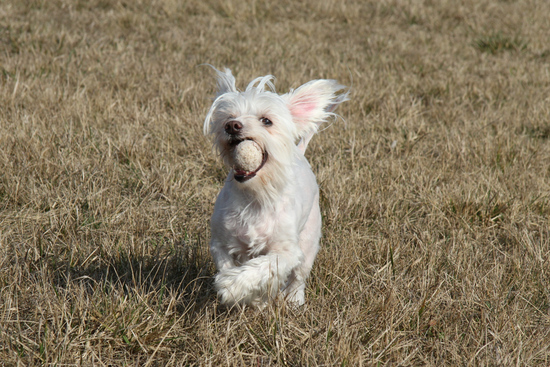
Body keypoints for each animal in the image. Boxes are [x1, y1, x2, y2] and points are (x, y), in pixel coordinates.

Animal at [203, 67, 350, 306]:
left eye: (266, 121)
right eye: (229, 117)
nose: (232, 126)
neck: (256, 196)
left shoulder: (287, 251)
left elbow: (264, 267)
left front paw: (232, 285)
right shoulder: (220, 242)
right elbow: (226, 263)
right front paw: (244, 293)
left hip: (309, 240)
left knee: (299, 275)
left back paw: (294, 299)